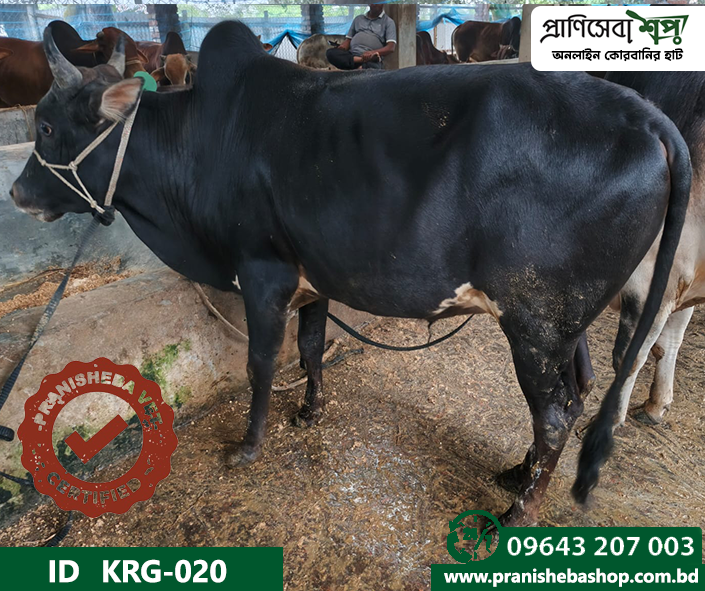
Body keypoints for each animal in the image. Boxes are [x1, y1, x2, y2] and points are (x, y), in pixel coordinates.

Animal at [10, 22, 691, 526]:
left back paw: (517, 511)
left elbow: (262, 364)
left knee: (555, 412)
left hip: (536, 323)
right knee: (578, 389)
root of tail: (645, 116)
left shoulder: (262, 273)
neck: (200, 141)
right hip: (564, 324)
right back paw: (518, 473)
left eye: (46, 125)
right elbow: (311, 348)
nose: (17, 193)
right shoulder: (313, 279)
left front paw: (248, 446)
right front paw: (310, 413)